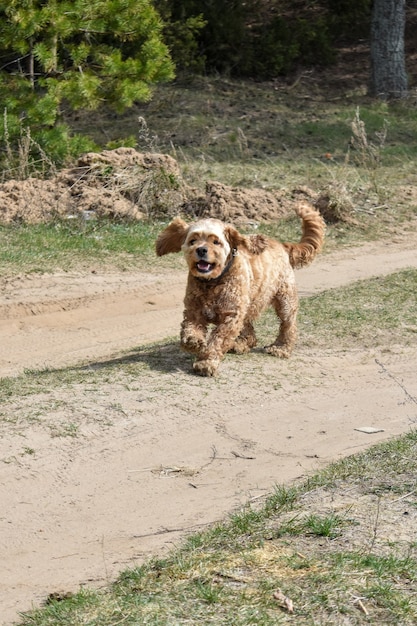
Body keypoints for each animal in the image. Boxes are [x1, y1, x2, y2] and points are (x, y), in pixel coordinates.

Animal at [156, 201, 324, 376]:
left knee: (288, 325)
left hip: (285, 299)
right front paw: (193, 342)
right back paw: (241, 344)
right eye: (193, 240)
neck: (213, 282)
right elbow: (190, 327)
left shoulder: (231, 315)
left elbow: (218, 340)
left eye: (216, 242)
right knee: (250, 330)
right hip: (249, 303)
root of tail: (282, 245)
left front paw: (206, 362)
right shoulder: (194, 310)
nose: (201, 250)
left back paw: (280, 348)